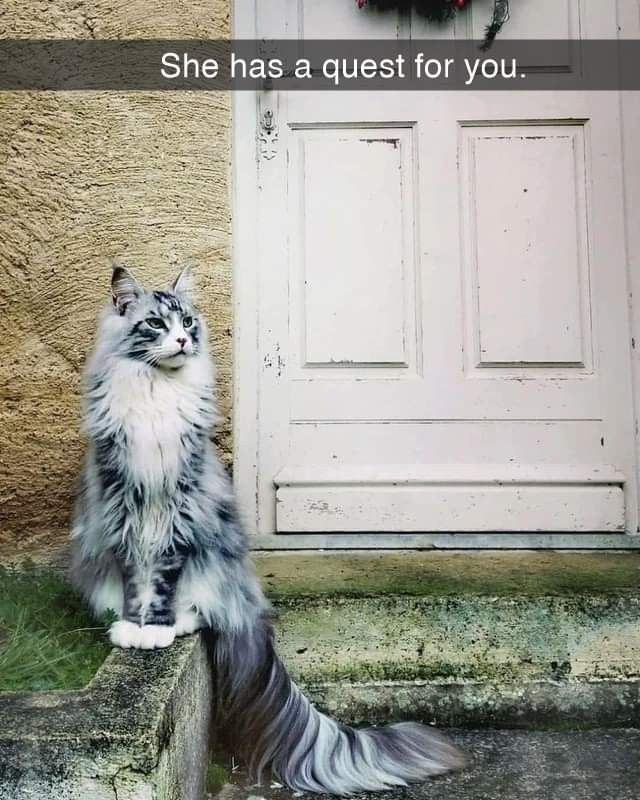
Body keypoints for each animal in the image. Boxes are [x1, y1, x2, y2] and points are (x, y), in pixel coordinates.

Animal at [71, 268, 464, 792]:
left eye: (188, 322)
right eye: (155, 323)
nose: (182, 339)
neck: (157, 391)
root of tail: (248, 604)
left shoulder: (180, 510)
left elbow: (163, 582)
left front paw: (157, 629)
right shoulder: (123, 505)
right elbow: (137, 580)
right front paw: (135, 630)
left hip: (215, 554)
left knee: (204, 606)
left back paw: (182, 621)